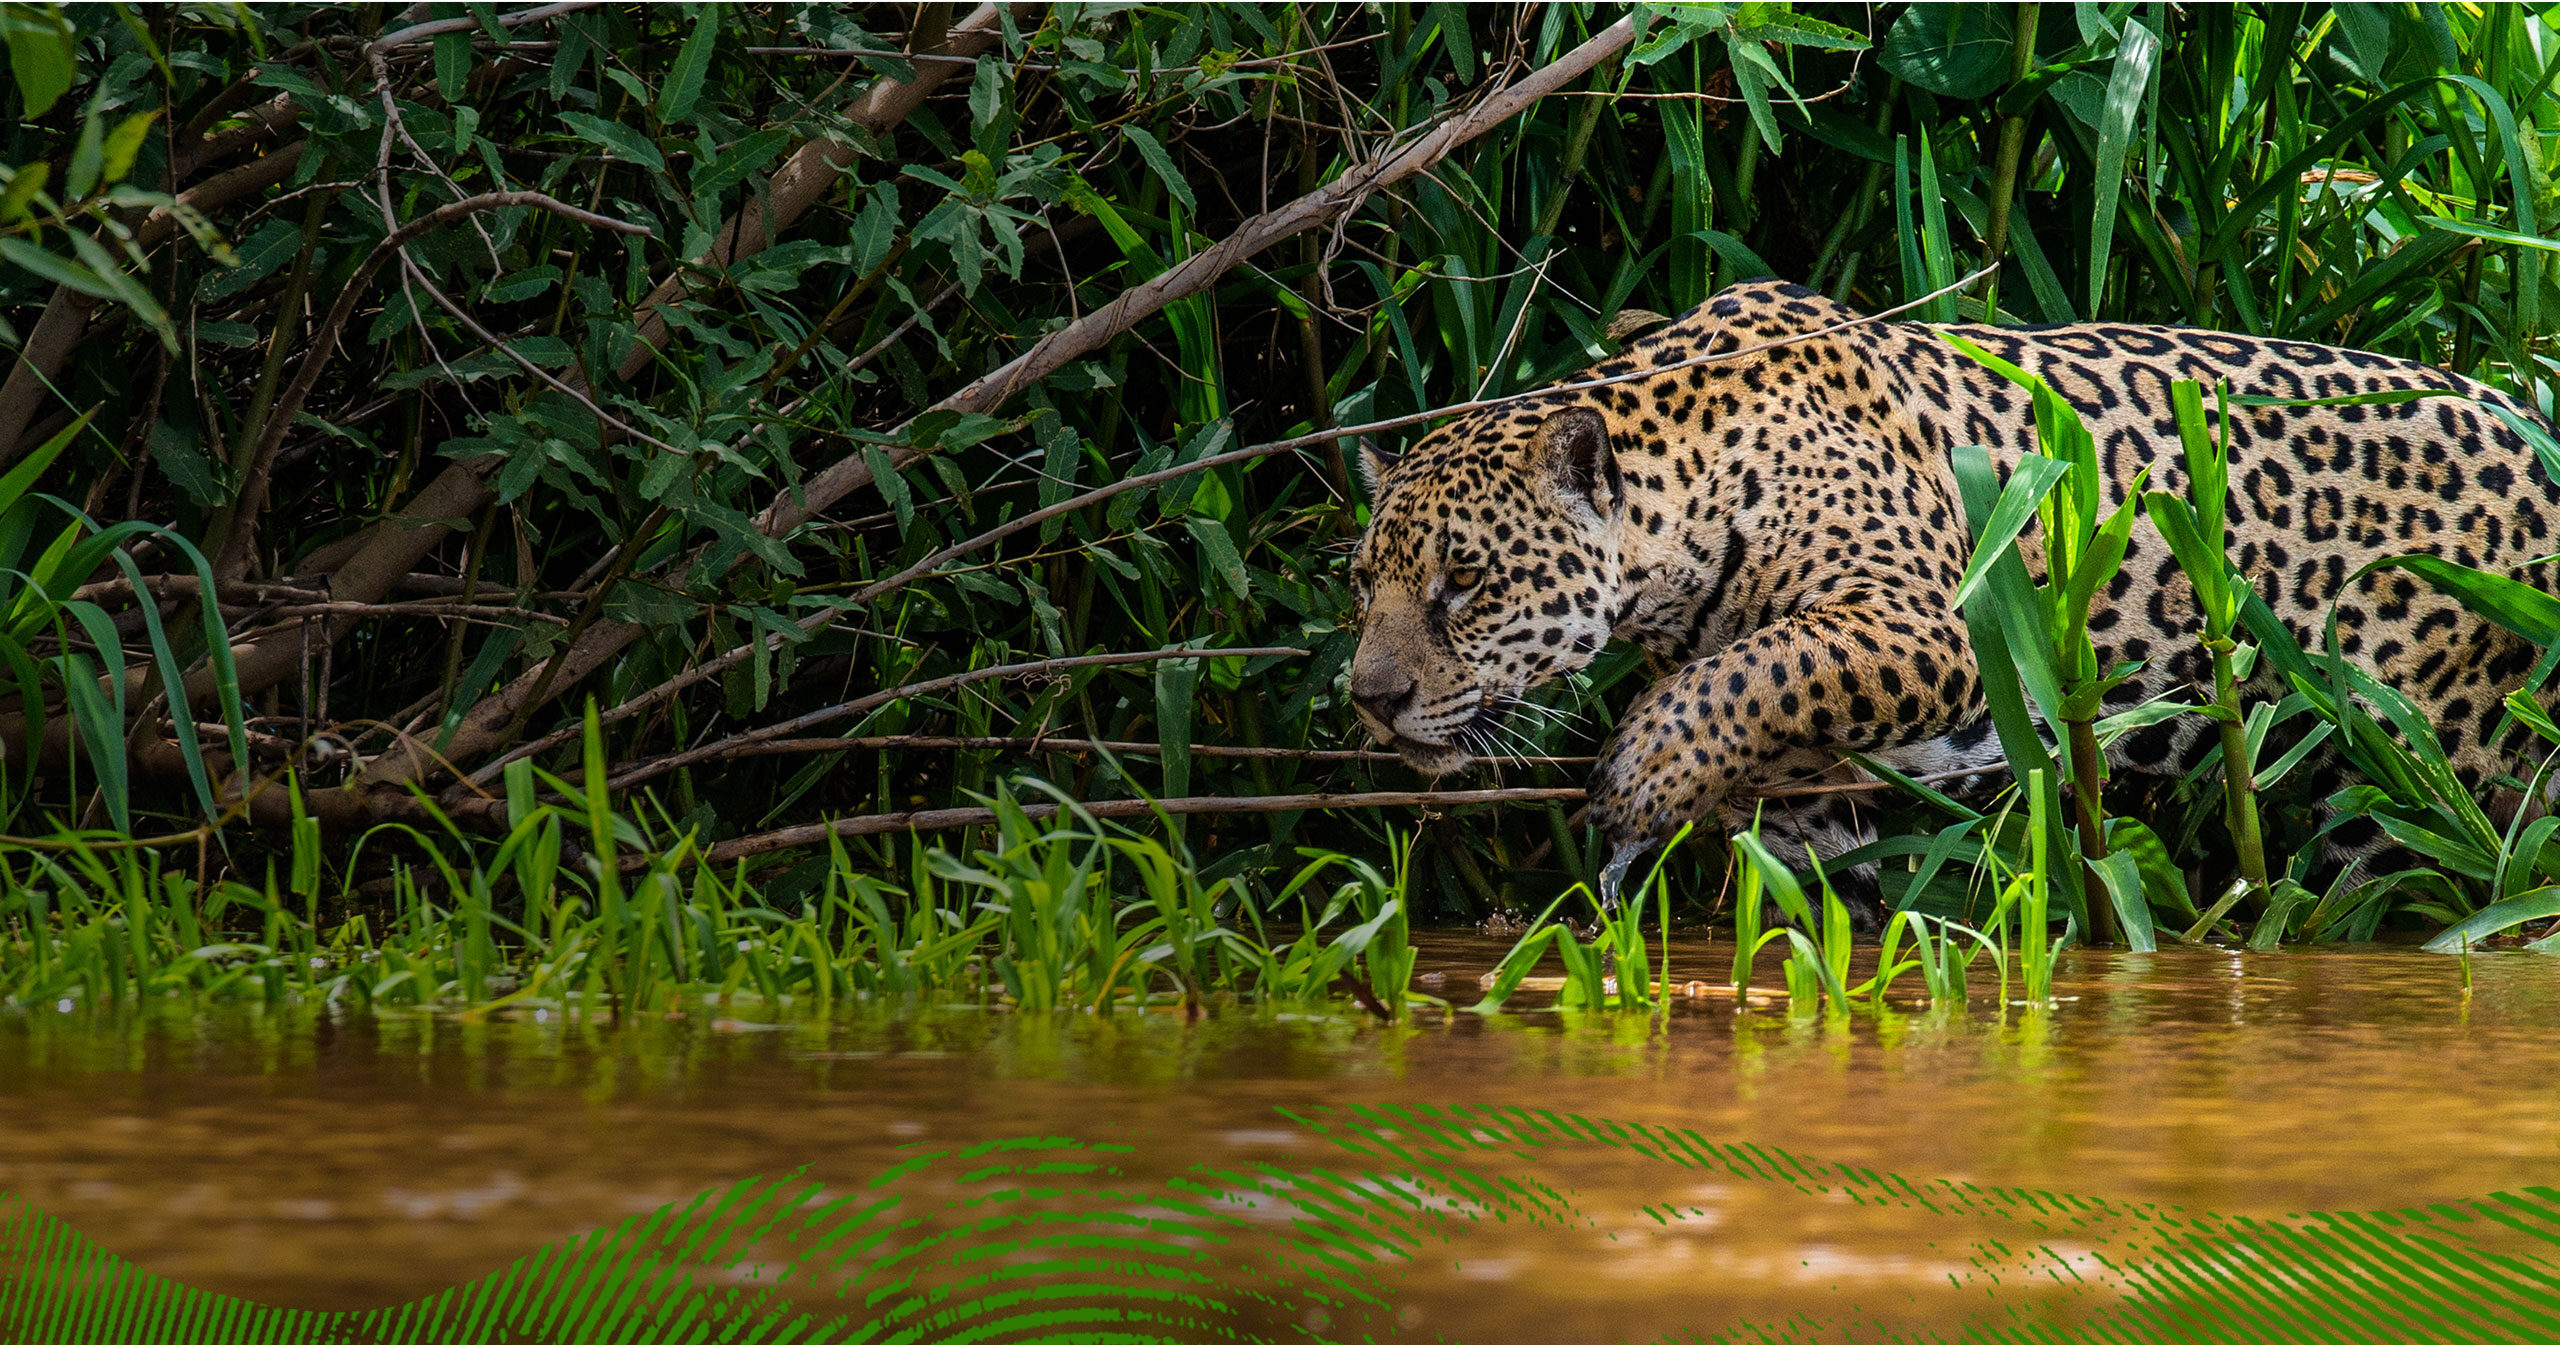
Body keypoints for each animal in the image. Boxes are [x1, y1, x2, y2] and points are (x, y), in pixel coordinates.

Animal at [1345, 279, 2560, 914]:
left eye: (1464, 580)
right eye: (1364, 584)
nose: (1369, 700)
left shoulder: (1934, 622)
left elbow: (1753, 668)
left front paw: (1642, 771)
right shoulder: (1812, 799)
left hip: (2470, 774)